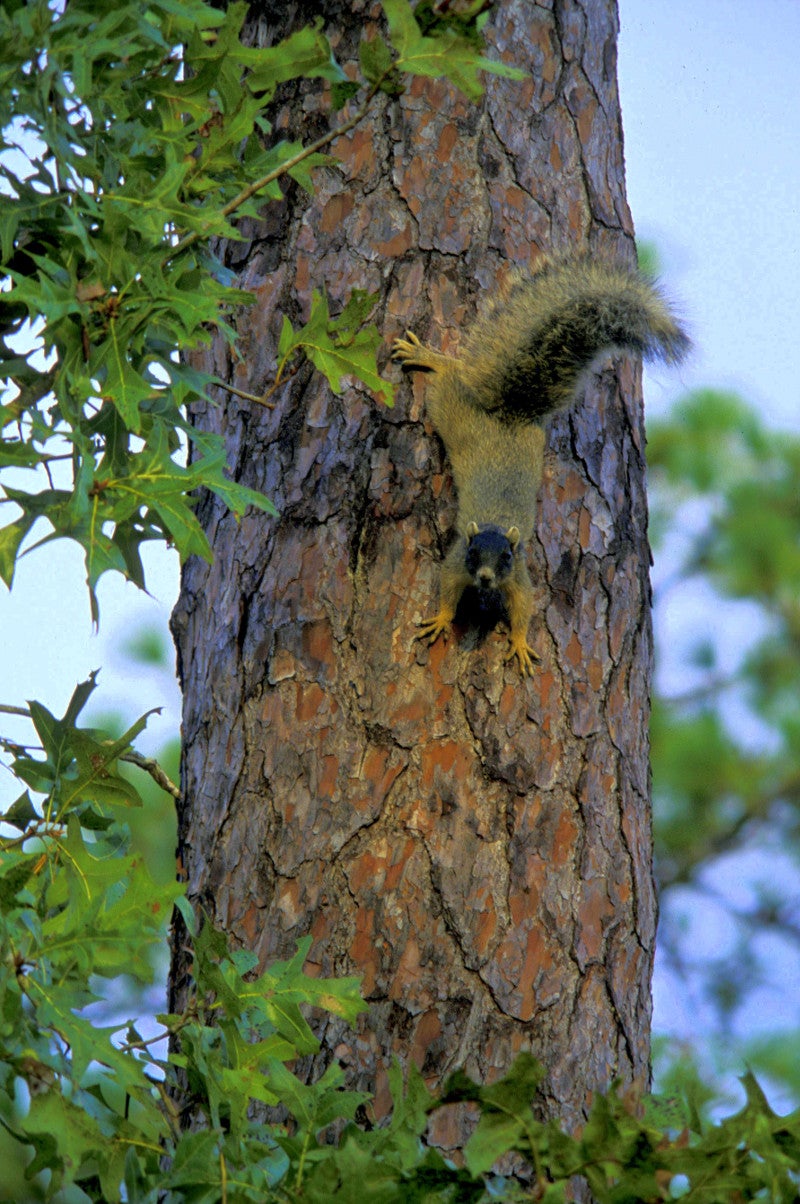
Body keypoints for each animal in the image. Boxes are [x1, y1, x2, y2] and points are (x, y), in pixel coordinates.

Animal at [392, 251, 689, 679]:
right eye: (473, 553)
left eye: (505, 557)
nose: (485, 578)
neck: (495, 526)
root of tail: (509, 415)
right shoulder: (456, 562)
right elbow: (447, 588)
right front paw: (442, 619)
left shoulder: (518, 576)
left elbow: (523, 606)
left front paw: (518, 644)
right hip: (450, 409)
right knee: (450, 376)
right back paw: (429, 358)